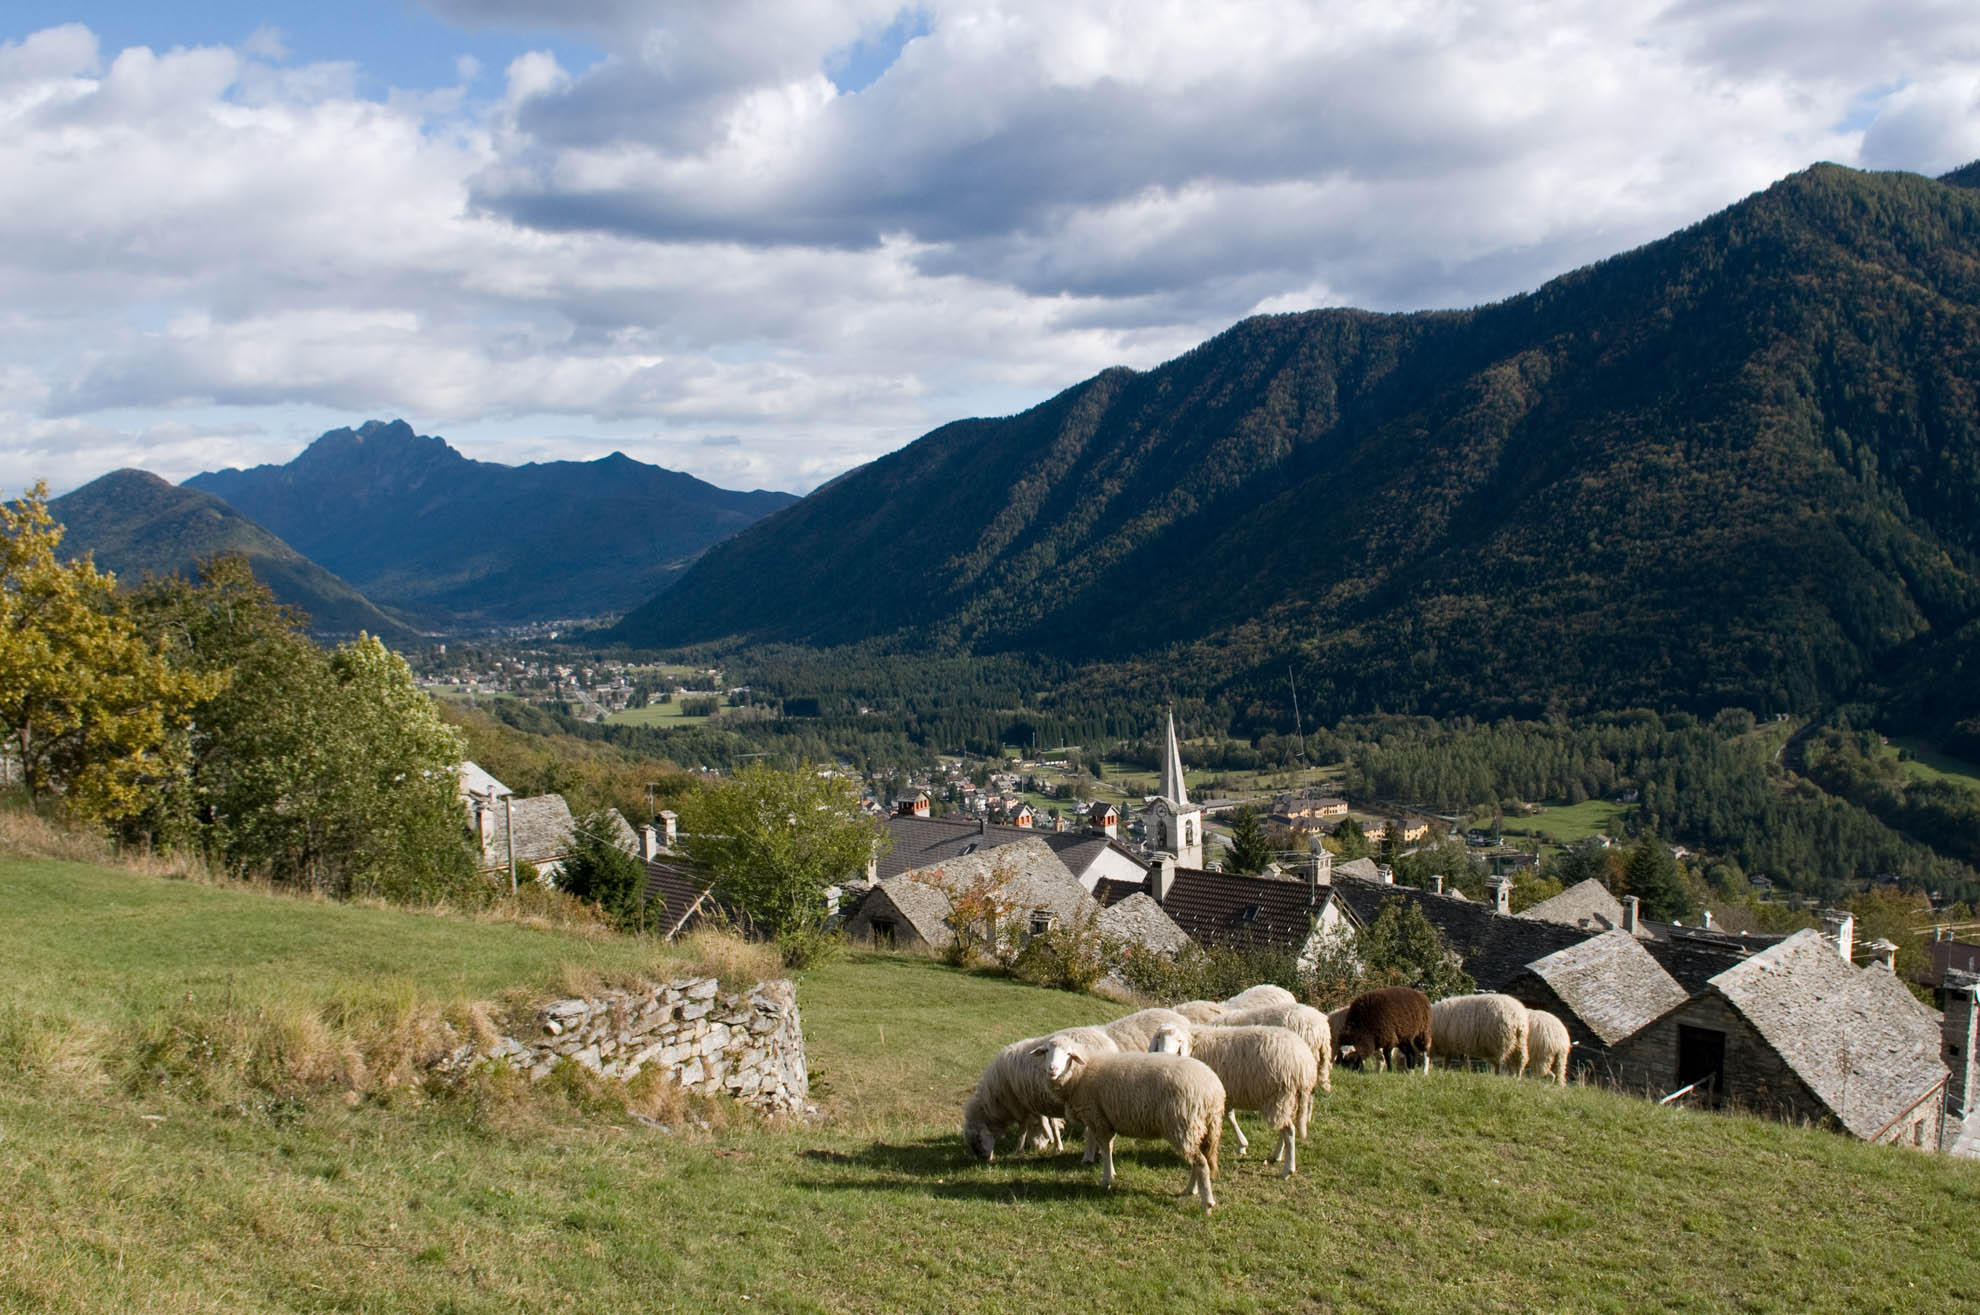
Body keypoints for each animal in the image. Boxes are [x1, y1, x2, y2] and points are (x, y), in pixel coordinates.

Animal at [966, 1029, 1124, 1164]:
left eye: (978, 1140)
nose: (985, 1159)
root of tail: (1110, 1045)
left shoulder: (1023, 1104)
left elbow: (1024, 1128)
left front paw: (1019, 1150)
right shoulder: (1036, 1101)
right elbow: (1050, 1123)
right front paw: (1056, 1144)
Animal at [1037, 1037, 1219, 1212]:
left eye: (1069, 1054)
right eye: (1046, 1051)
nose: (1052, 1069)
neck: (1082, 1073)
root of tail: (1214, 1091)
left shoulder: (1098, 1119)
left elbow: (1105, 1149)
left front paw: (1106, 1180)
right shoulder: (1106, 1119)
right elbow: (1108, 1147)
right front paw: (1111, 1173)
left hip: (1183, 1125)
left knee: (1201, 1163)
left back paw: (1207, 1203)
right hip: (1199, 1128)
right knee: (1198, 1160)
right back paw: (1190, 1190)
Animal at [1148, 1021, 1314, 1172]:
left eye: (1179, 1041)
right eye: (1159, 1038)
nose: (1164, 1055)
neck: (1195, 1045)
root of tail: (1305, 1064)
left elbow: (1228, 1117)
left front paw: (1242, 1144)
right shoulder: (1223, 1094)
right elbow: (1230, 1116)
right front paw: (1242, 1145)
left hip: (1279, 1096)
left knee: (1289, 1130)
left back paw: (1288, 1168)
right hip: (1287, 1099)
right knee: (1284, 1126)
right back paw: (1276, 1156)